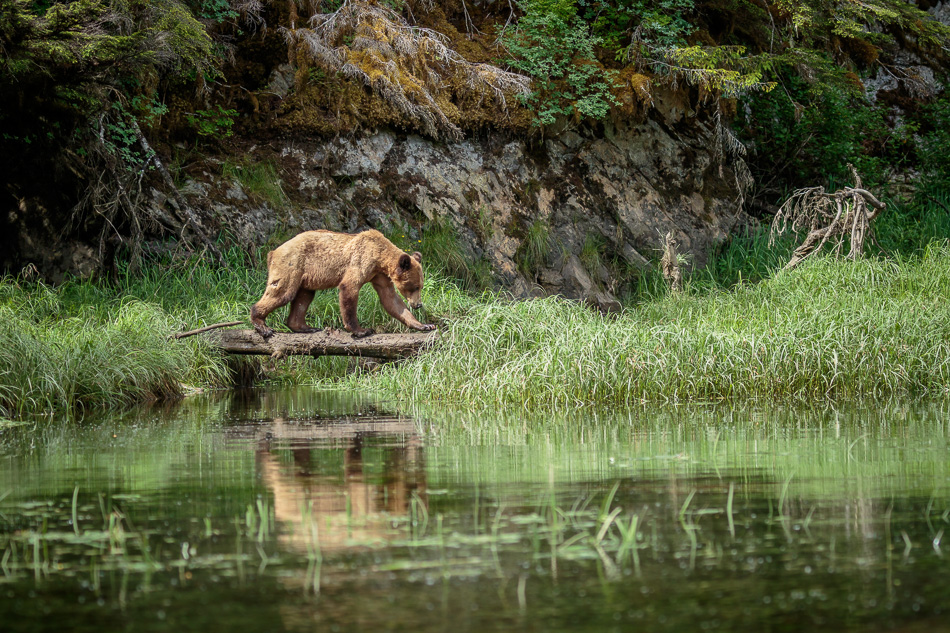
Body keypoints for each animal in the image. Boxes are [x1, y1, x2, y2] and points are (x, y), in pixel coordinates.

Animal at [250, 229, 436, 339]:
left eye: (421, 286)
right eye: (414, 287)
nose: (418, 304)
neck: (379, 258)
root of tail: (273, 251)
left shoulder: (379, 276)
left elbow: (391, 300)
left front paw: (424, 325)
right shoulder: (361, 261)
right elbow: (349, 288)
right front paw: (361, 330)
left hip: (306, 277)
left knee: (304, 297)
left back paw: (305, 327)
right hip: (292, 264)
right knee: (283, 292)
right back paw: (262, 325)